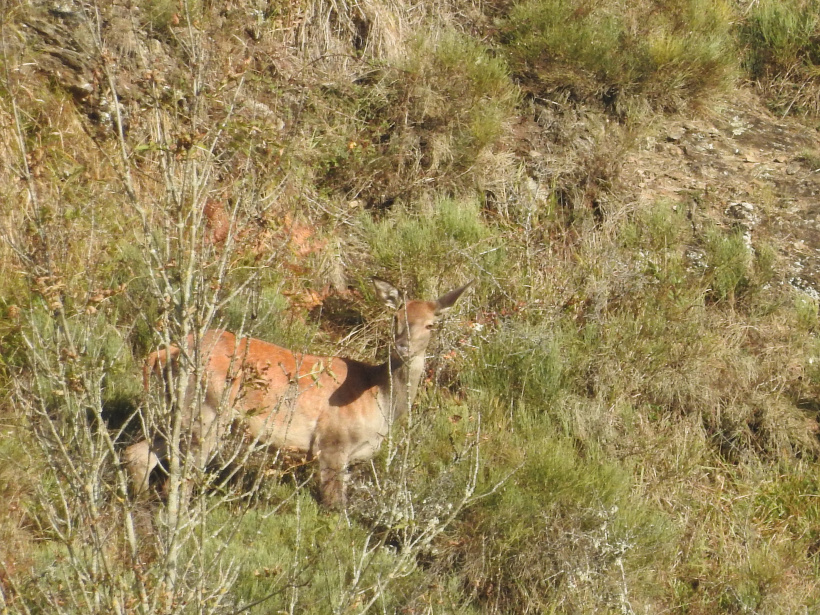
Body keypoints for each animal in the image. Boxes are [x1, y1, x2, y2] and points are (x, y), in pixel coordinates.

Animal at [124, 280, 470, 510]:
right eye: (396, 318)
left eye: (431, 324)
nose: (402, 347)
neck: (378, 398)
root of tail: (163, 354)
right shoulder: (331, 442)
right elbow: (335, 509)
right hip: (206, 410)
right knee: (181, 475)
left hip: (174, 410)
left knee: (139, 454)